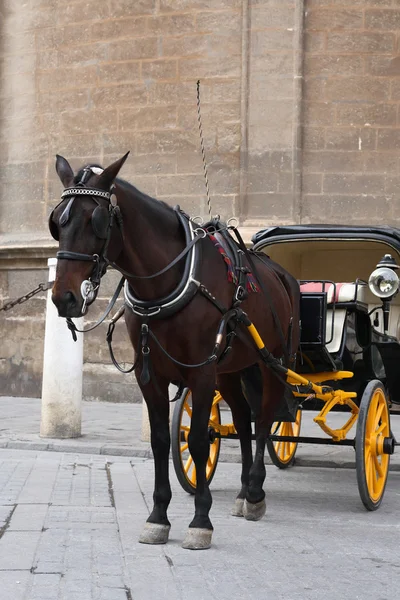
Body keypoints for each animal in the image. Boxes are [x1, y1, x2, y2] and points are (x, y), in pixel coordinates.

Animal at [49, 154, 300, 548]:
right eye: (57, 222)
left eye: (96, 221)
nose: (64, 298)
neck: (165, 284)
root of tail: (281, 274)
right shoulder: (150, 376)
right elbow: (160, 441)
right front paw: (158, 516)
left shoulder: (201, 372)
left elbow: (197, 441)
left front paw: (200, 520)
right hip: (229, 370)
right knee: (243, 419)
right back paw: (243, 491)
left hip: (272, 362)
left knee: (262, 420)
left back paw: (256, 493)